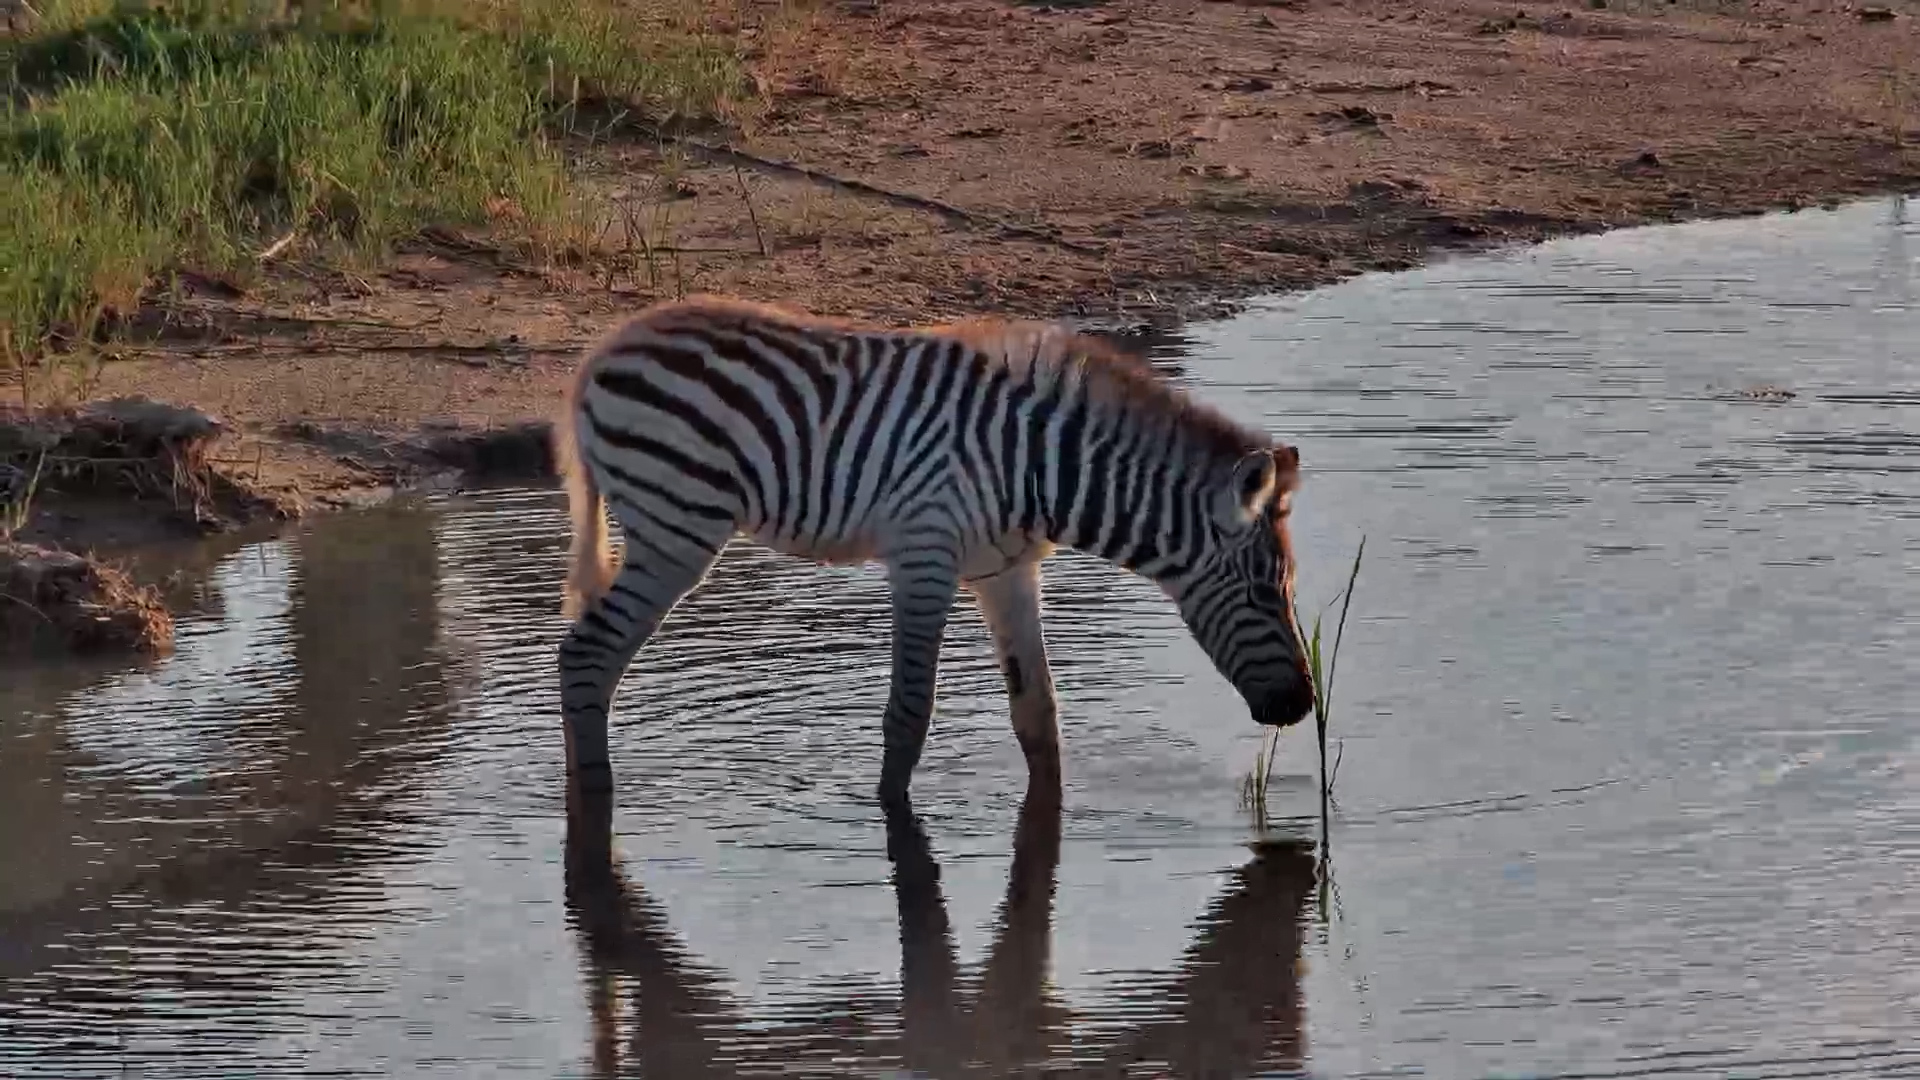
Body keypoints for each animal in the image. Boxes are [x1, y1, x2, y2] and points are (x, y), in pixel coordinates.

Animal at [551, 295, 1315, 810]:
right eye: (1265, 592)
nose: (1302, 707)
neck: (1039, 468)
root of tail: (602, 352)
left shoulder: (1008, 571)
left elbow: (1039, 715)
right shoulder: (926, 554)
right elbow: (909, 714)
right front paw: (891, 813)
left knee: (589, 660)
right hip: (675, 528)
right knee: (586, 657)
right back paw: (595, 797)